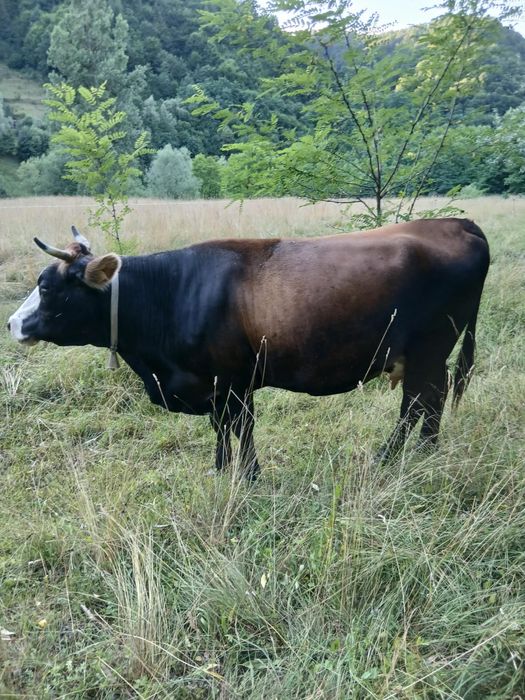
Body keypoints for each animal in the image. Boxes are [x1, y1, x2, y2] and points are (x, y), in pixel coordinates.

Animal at [8, 219, 490, 480]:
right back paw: (423, 453)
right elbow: (226, 430)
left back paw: (398, 456)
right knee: (427, 402)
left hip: (429, 350)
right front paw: (225, 471)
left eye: (46, 287)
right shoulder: (222, 386)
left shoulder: (231, 380)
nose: (12, 324)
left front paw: (247, 476)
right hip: (424, 355)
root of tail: (454, 222)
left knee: (420, 403)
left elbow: (239, 429)